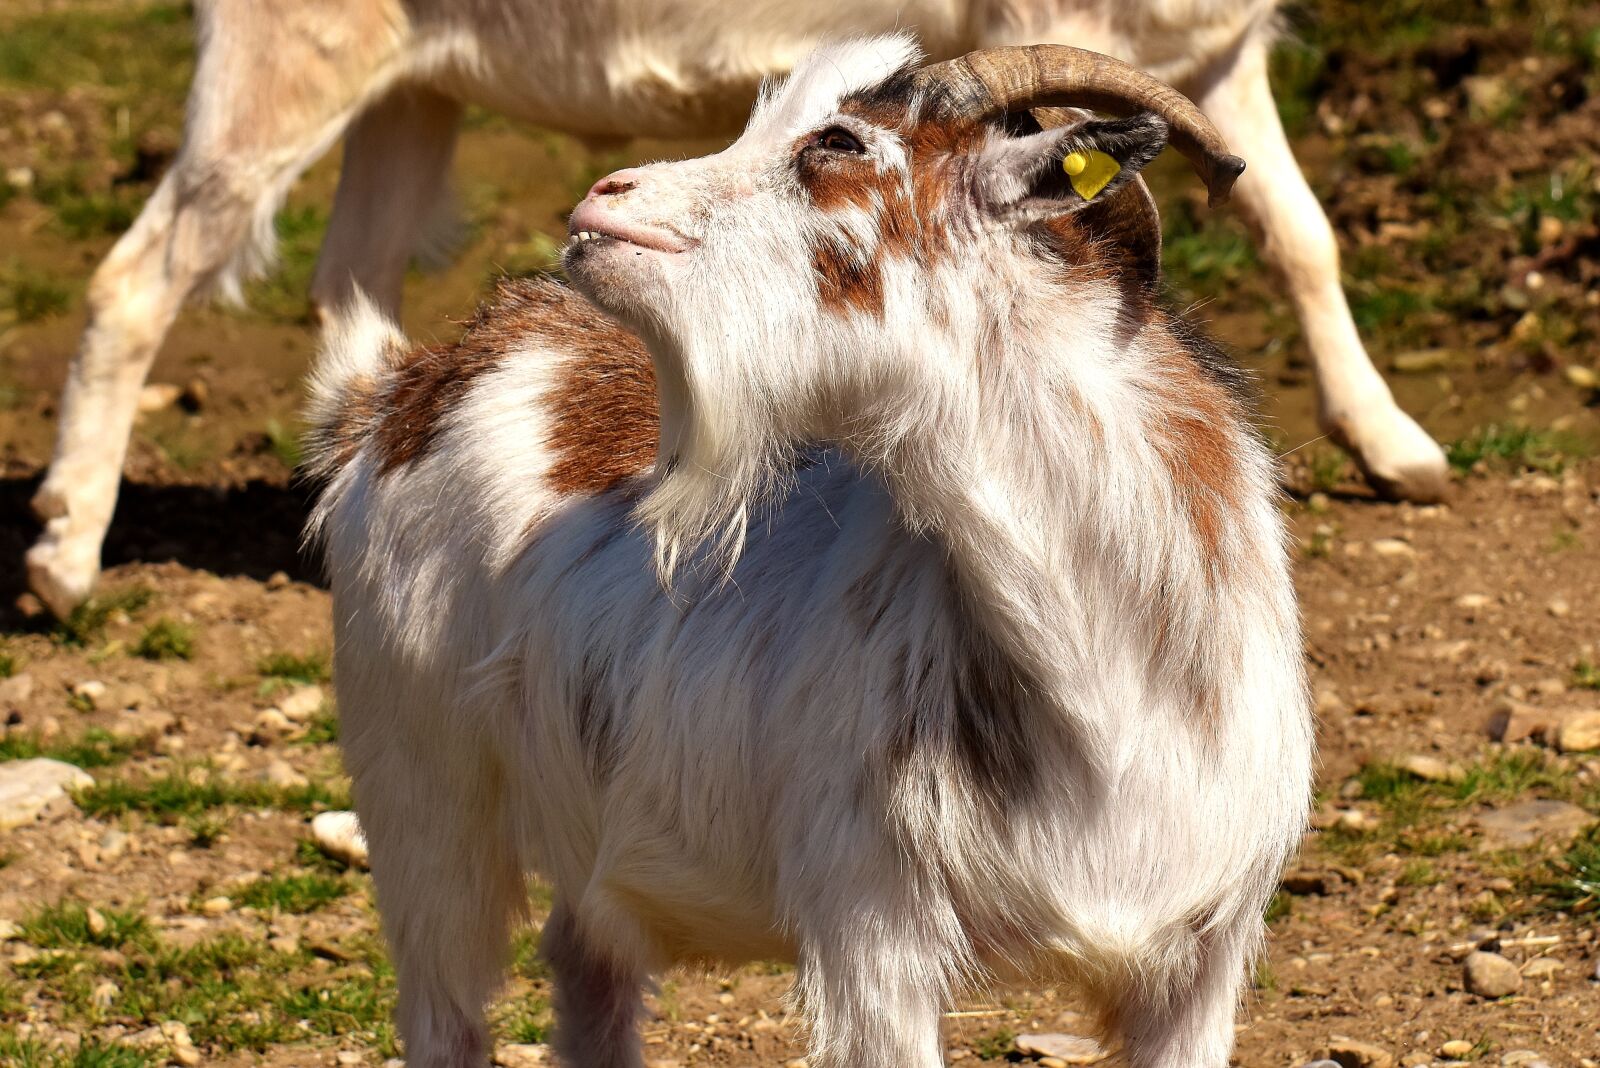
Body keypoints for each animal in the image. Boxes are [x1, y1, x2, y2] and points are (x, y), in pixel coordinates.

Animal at [26, 0, 1448, 620]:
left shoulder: (1211, 58)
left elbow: (1302, 233)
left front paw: (1399, 452)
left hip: (409, 91)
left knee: (355, 289)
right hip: (283, 62)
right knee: (139, 275)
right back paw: (61, 562)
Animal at [305, 36, 1314, 1068]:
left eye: (837, 141)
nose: (603, 198)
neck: (1112, 691)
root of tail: (403, 387)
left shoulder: (1200, 969)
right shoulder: (873, 940)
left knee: (587, 964)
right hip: (421, 798)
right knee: (445, 1006)